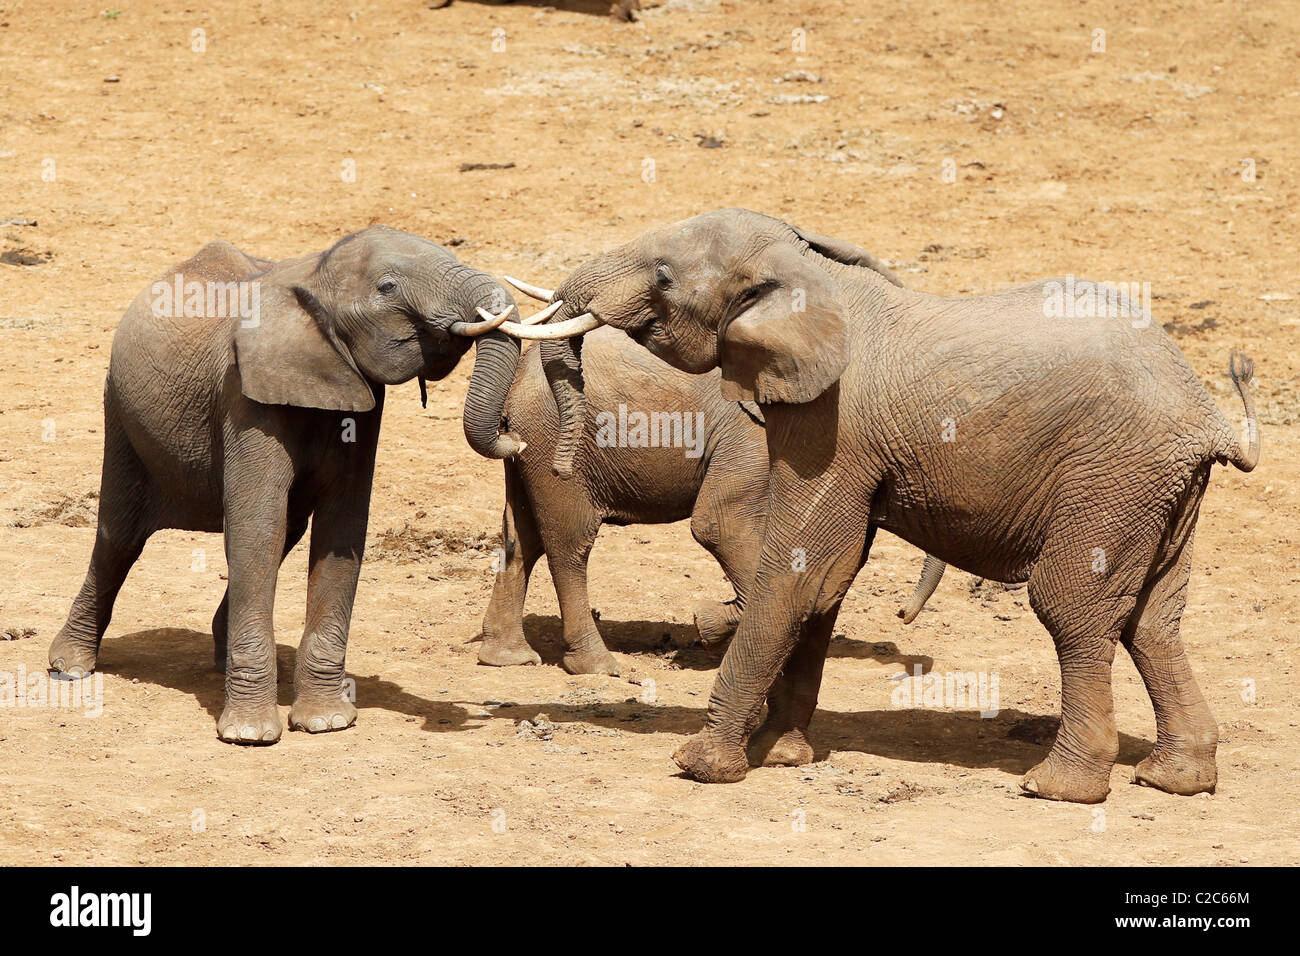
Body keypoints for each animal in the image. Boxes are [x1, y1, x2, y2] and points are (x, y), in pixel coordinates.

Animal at [50, 226, 569, 749]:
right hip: (119, 410)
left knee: (289, 529)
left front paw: (326, 722)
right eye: (387, 288)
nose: (516, 439)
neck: (315, 275)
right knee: (120, 536)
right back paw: (69, 667)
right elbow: (256, 527)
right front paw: (250, 735)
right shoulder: (244, 395)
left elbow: (341, 529)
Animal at [488, 273, 946, 676]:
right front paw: (706, 624)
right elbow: (720, 525)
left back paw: (508, 658)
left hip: (529, 444)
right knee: (570, 545)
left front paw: (709, 627)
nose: (902, 613)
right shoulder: (751, 433)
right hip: (555, 440)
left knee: (521, 537)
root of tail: (516, 385)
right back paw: (598, 667)